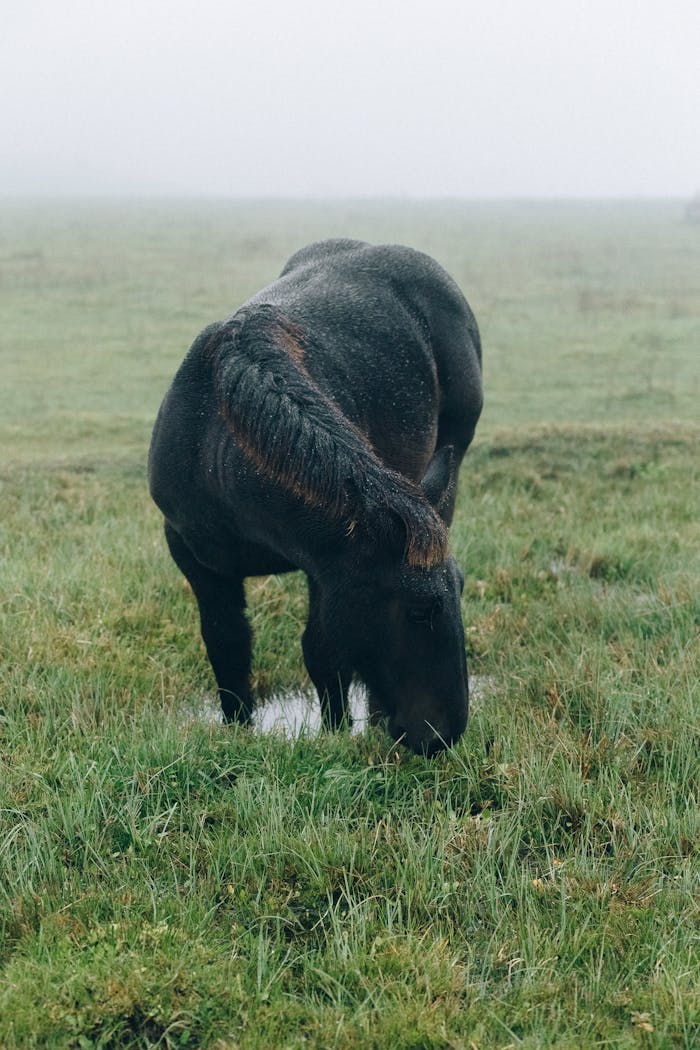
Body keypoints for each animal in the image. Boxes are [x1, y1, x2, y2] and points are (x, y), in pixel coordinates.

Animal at [149, 238, 482, 754]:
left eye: (462, 589)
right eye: (419, 610)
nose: (443, 734)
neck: (216, 444)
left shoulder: (325, 568)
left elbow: (322, 652)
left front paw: (335, 731)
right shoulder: (189, 552)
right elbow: (226, 644)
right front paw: (239, 730)